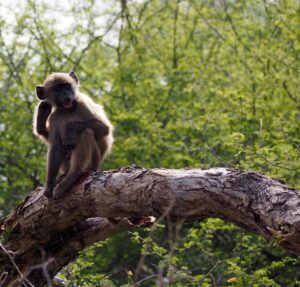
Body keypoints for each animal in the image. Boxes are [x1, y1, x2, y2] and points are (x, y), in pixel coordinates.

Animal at [32, 70, 113, 199]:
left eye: (67, 86)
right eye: (58, 89)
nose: (66, 96)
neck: (68, 110)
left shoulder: (82, 104)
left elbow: (105, 128)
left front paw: (68, 129)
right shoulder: (55, 118)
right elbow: (56, 147)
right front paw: (49, 185)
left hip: (93, 163)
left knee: (86, 132)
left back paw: (74, 175)